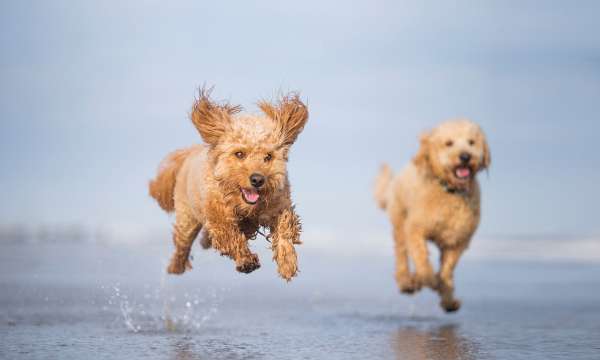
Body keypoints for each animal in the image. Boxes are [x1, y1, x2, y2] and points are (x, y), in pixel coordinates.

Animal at [150, 88, 310, 282]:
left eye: (268, 156)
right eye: (239, 154)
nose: (257, 179)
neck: (247, 207)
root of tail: (191, 152)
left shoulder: (279, 205)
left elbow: (285, 229)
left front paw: (287, 262)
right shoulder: (218, 215)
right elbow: (230, 236)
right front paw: (246, 260)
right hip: (187, 217)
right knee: (183, 244)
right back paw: (176, 266)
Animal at [378, 119, 490, 310]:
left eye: (471, 142)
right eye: (449, 143)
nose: (465, 157)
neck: (450, 191)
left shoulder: (457, 241)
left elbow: (447, 270)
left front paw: (447, 297)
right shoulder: (415, 230)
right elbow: (422, 260)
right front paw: (424, 279)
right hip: (400, 221)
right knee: (401, 253)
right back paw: (406, 282)